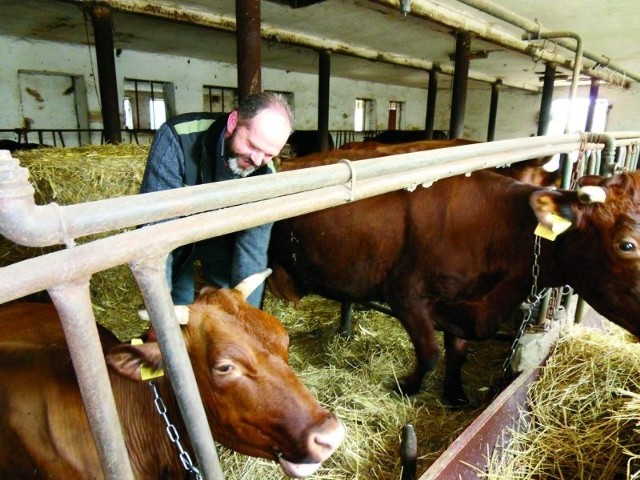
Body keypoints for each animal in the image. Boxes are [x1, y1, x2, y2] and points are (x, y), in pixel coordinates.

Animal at [268, 169, 640, 404]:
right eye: (627, 245)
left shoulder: (460, 306)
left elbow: (457, 353)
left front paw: (455, 394)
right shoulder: (406, 296)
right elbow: (430, 353)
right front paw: (406, 386)